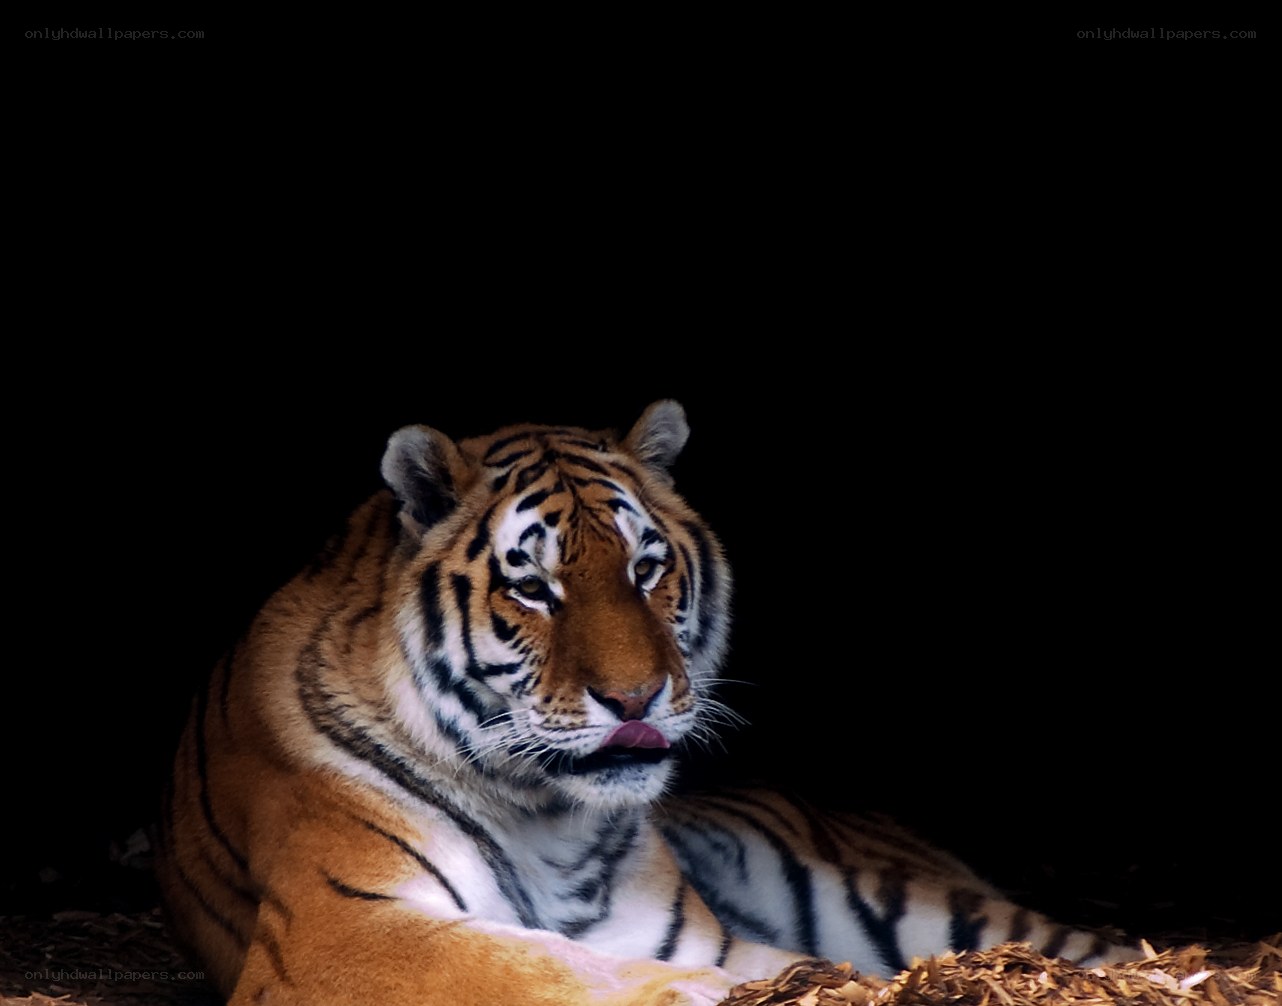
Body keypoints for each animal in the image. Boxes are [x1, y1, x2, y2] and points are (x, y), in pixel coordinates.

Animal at [156, 400, 1136, 1006]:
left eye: (645, 568)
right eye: (534, 587)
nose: (636, 696)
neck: (543, 816)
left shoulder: (684, 933)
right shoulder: (344, 926)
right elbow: (525, 965)